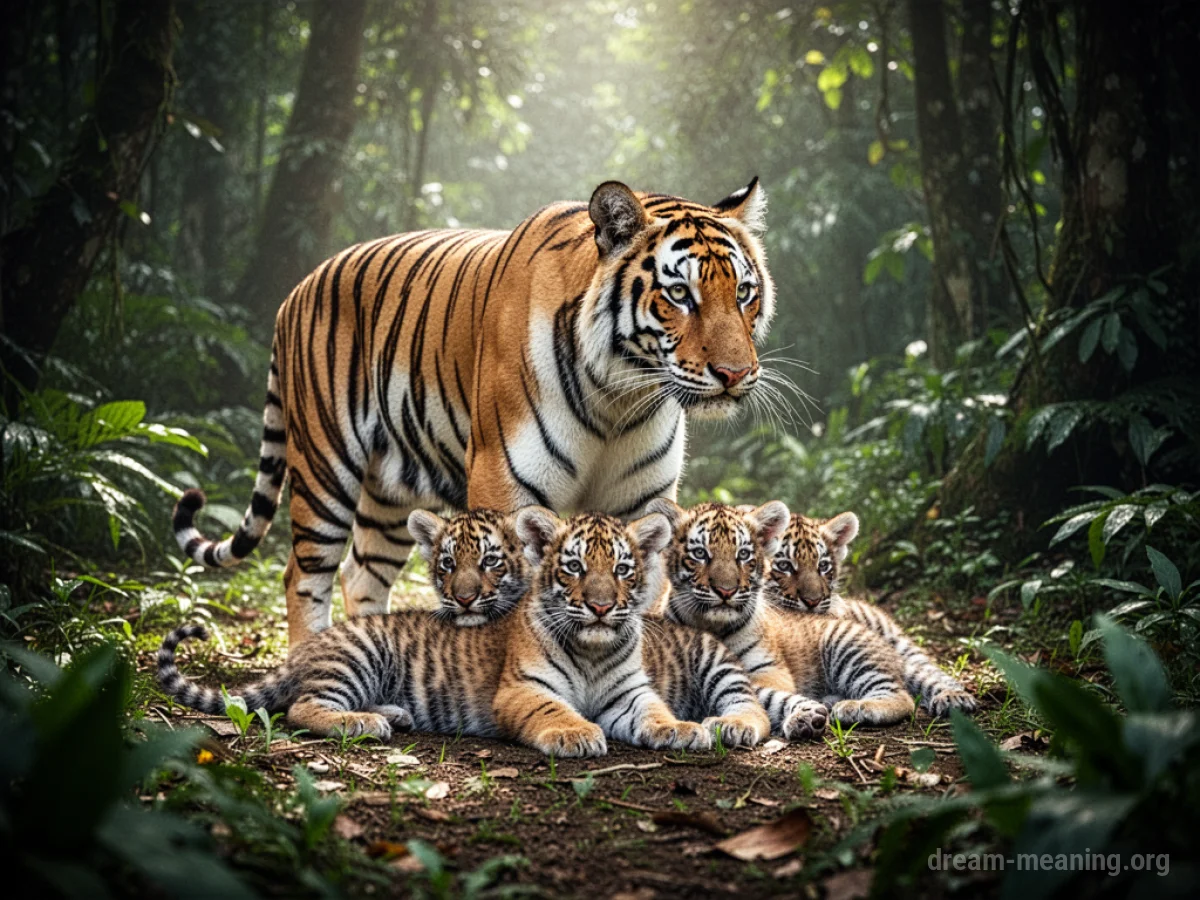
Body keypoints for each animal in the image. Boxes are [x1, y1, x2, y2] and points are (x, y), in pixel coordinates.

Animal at [170, 178, 779, 649]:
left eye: (744, 293)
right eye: (679, 295)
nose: (734, 373)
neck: (621, 397)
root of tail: (296, 289)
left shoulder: (642, 500)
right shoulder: (503, 484)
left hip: (390, 487)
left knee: (361, 572)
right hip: (325, 466)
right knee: (303, 573)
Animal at [409, 508, 769, 747]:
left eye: (621, 569)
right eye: (574, 567)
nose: (600, 606)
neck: (591, 653)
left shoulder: (628, 692)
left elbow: (653, 708)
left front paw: (678, 728)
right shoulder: (524, 686)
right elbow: (550, 708)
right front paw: (574, 732)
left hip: (720, 667)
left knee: (752, 705)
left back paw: (734, 725)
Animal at [649, 499, 916, 737]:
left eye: (743, 555)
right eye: (700, 553)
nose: (726, 590)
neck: (713, 625)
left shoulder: (770, 670)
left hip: (848, 648)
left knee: (902, 696)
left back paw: (856, 707)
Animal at [765, 511, 977, 717]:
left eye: (823, 566)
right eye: (784, 566)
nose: (813, 601)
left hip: (896, 643)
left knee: (926, 669)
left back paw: (954, 695)